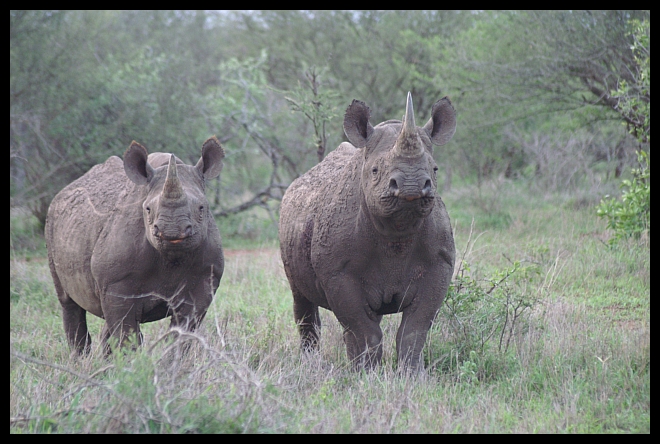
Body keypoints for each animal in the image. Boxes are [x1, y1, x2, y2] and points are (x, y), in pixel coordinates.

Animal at [45, 136, 225, 354]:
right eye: (147, 209)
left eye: (201, 208)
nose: (172, 230)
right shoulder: (117, 285)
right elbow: (127, 334)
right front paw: (134, 362)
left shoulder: (203, 281)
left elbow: (181, 334)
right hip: (52, 222)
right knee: (69, 302)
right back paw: (80, 359)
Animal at [279, 93, 456, 371]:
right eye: (375, 171)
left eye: (435, 169)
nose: (412, 186)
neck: (397, 231)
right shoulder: (338, 273)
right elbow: (363, 330)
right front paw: (365, 374)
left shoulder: (439, 264)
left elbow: (414, 329)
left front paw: (412, 374)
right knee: (302, 300)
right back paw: (311, 363)